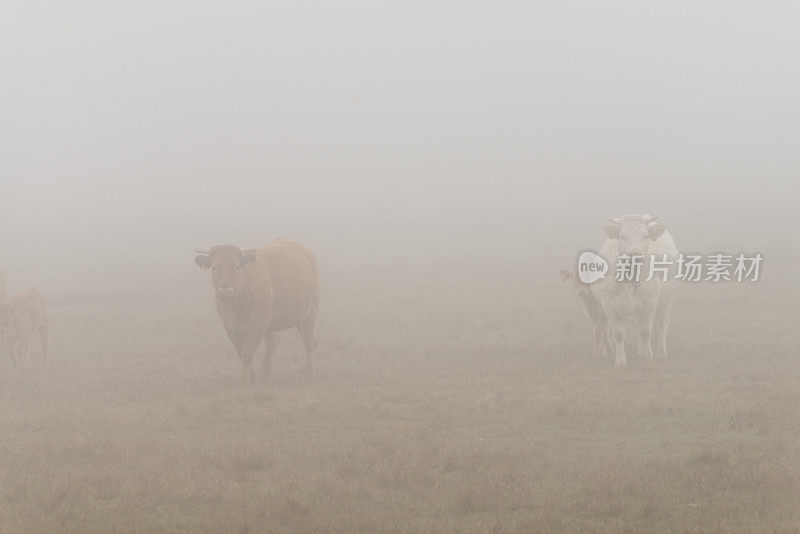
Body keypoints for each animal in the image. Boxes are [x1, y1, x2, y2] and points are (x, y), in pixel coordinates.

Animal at [194, 240, 318, 386]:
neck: (237, 305)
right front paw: (252, 377)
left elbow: (248, 352)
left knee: (309, 342)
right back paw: (266, 372)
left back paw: (310, 372)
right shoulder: (229, 326)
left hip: (311, 310)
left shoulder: (259, 324)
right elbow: (241, 351)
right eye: (214, 267)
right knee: (273, 344)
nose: (225, 291)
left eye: (236, 266)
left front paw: (245, 381)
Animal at [592, 215, 680, 368]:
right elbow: (619, 333)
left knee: (662, 325)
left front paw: (647, 357)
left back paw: (660, 353)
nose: (636, 255)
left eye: (645, 236)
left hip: (666, 302)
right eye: (622, 236)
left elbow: (645, 331)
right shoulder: (609, 304)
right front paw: (620, 361)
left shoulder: (650, 303)